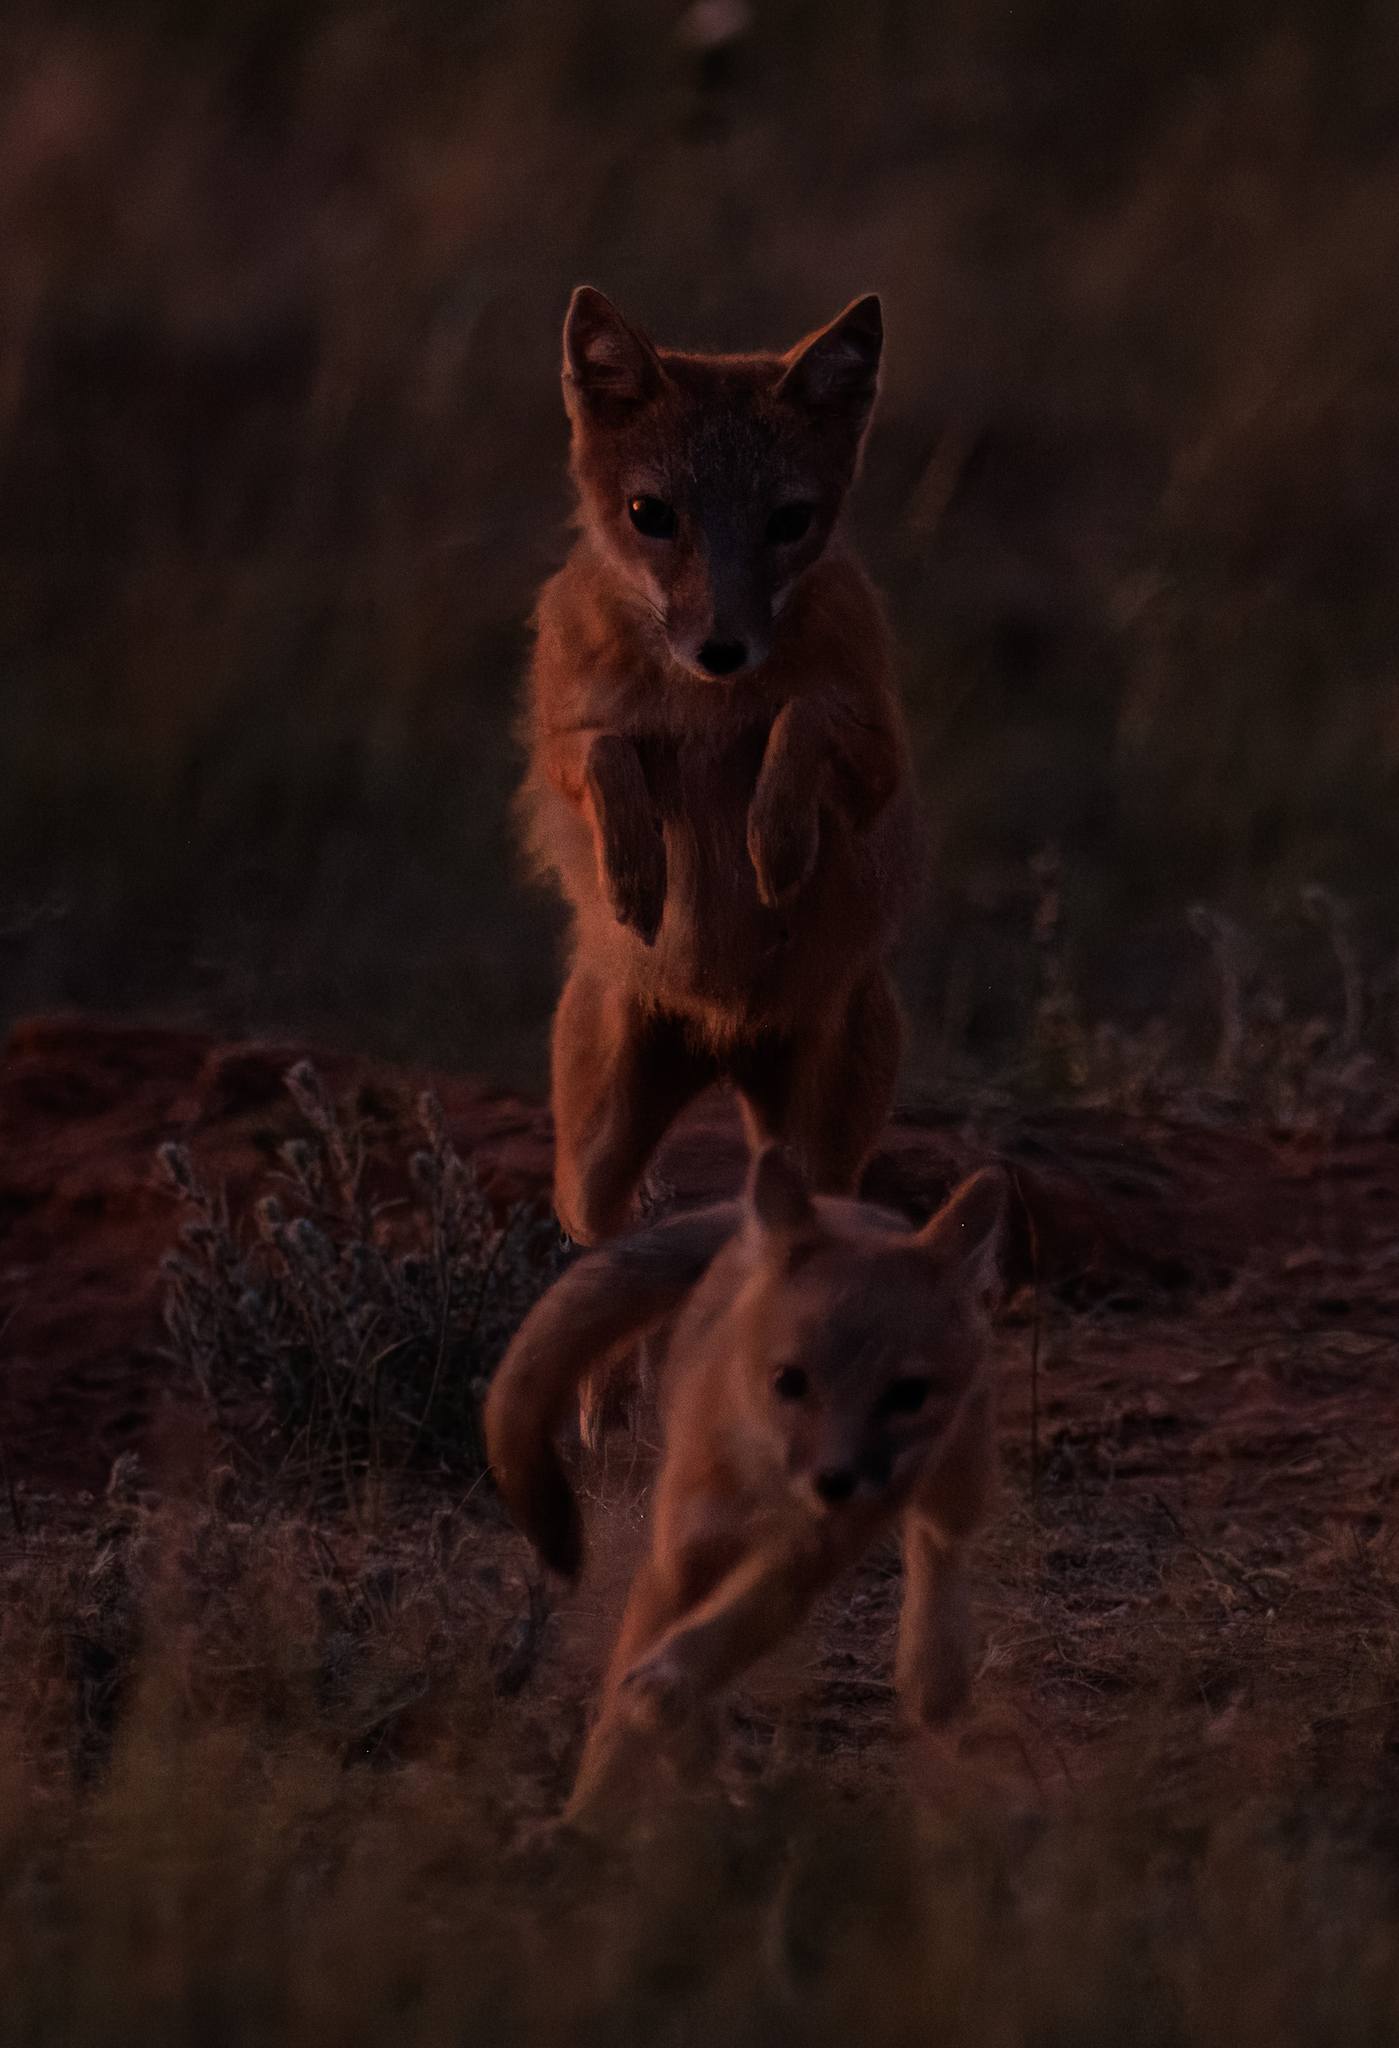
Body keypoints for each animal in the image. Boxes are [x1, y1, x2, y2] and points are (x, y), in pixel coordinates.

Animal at [484, 1142, 1006, 1821]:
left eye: (908, 1395)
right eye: (790, 1381)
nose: (835, 1482)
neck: (762, 1481)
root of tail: (847, 1205)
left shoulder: (807, 1554)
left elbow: (712, 1642)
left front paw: (663, 1699)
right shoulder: (680, 1554)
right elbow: (630, 1696)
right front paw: (586, 1815)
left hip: (953, 1485)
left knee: (939, 1546)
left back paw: (931, 1677)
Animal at [518, 286, 920, 1286]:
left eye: (789, 521)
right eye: (648, 512)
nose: (722, 649)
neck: (700, 701)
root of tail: (723, 1037)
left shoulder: (877, 765)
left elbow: (799, 718)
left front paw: (774, 845)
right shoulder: (559, 747)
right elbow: (610, 752)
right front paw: (634, 876)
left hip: (822, 1153)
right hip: (594, 1171)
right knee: (600, 1253)